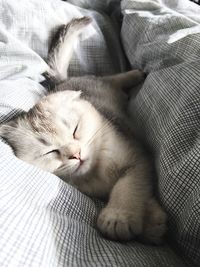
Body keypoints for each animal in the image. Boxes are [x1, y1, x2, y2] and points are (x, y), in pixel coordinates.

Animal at [0, 16, 166, 243]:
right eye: (50, 151)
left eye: (75, 130)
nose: (76, 154)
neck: (97, 171)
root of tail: (63, 81)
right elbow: (140, 193)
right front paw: (152, 223)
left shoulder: (138, 157)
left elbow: (129, 186)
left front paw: (118, 216)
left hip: (100, 81)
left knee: (114, 78)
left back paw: (136, 74)